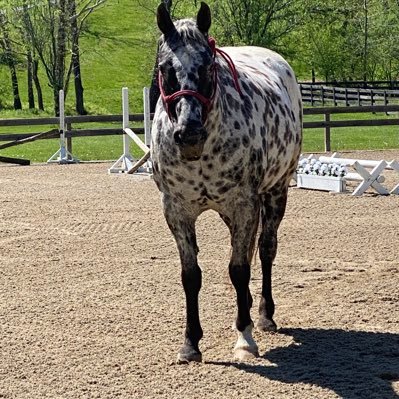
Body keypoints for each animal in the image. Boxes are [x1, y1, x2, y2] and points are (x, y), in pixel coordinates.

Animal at [152, 1, 302, 364]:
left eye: (208, 66)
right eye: (164, 68)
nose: (189, 133)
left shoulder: (244, 204)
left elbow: (239, 270)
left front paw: (245, 338)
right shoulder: (177, 212)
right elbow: (191, 276)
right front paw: (190, 343)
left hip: (275, 193)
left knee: (264, 249)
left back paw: (263, 314)